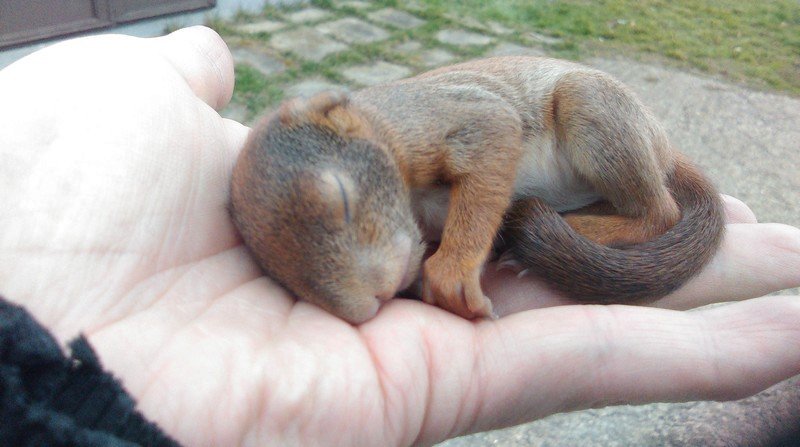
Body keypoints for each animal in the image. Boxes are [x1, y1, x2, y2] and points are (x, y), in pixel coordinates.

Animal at [230, 57, 724, 326]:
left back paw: (580, 227)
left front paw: (452, 276)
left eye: (340, 195)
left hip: (593, 110)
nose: (375, 298)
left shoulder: (453, 119)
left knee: (660, 212)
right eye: (284, 279)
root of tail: (663, 145)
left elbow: (486, 168)